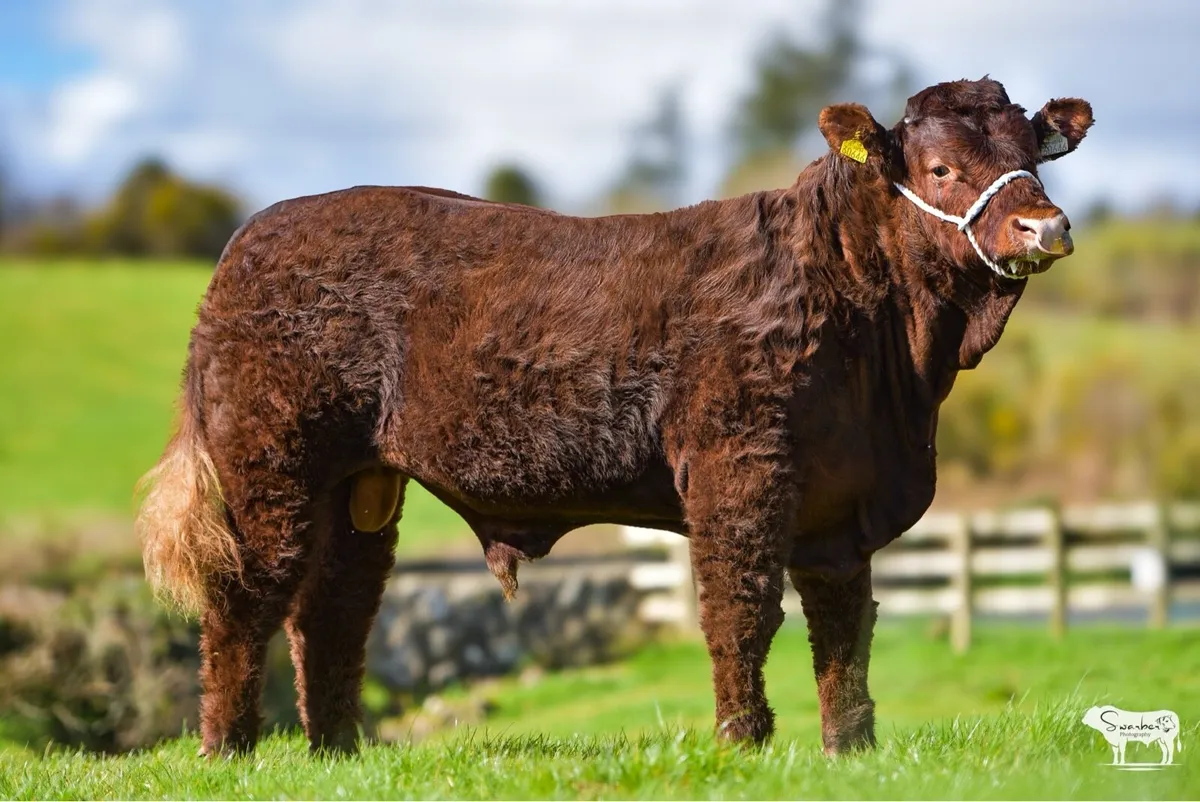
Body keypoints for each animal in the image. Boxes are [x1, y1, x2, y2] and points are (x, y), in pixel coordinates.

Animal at [136, 77, 1093, 757]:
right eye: (940, 169)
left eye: (1035, 158)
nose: (1045, 227)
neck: (894, 368)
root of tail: (253, 236)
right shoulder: (738, 468)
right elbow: (741, 605)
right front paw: (743, 742)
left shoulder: (840, 502)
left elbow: (844, 624)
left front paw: (849, 748)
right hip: (269, 462)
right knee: (245, 596)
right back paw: (227, 750)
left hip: (358, 482)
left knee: (333, 604)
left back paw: (337, 750)